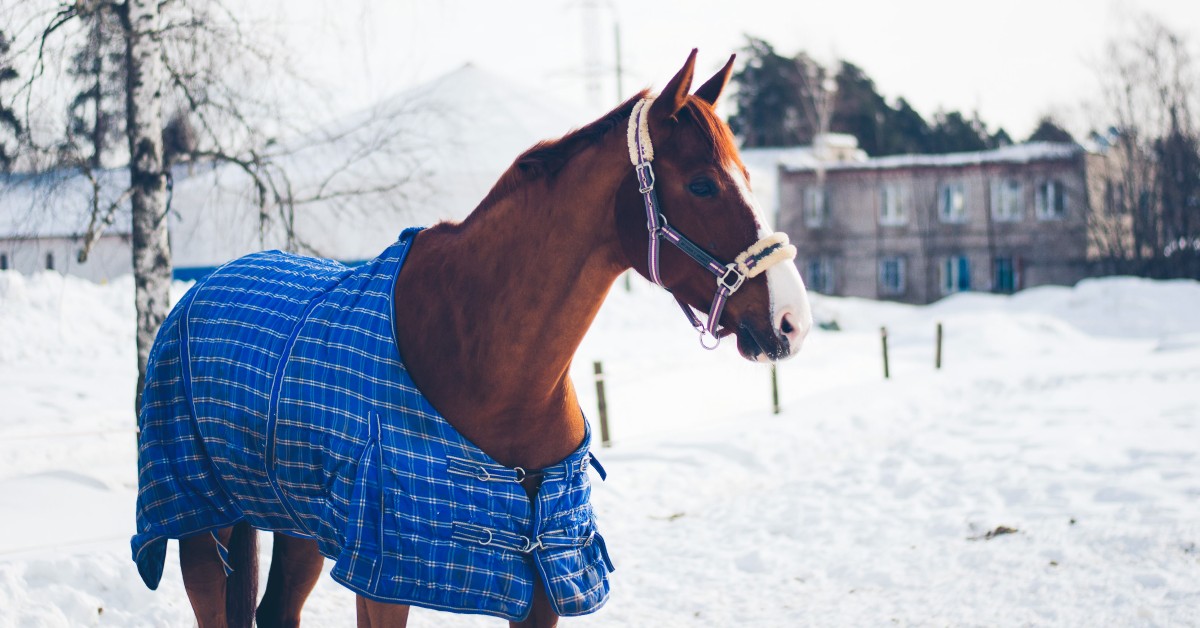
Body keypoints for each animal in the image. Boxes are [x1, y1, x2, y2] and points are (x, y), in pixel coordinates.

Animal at [130, 50, 812, 628]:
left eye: (748, 175)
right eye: (701, 184)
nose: (792, 321)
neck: (491, 363)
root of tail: (200, 289)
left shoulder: (543, 580)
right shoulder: (384, 575)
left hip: (296, 524)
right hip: (201, 527)